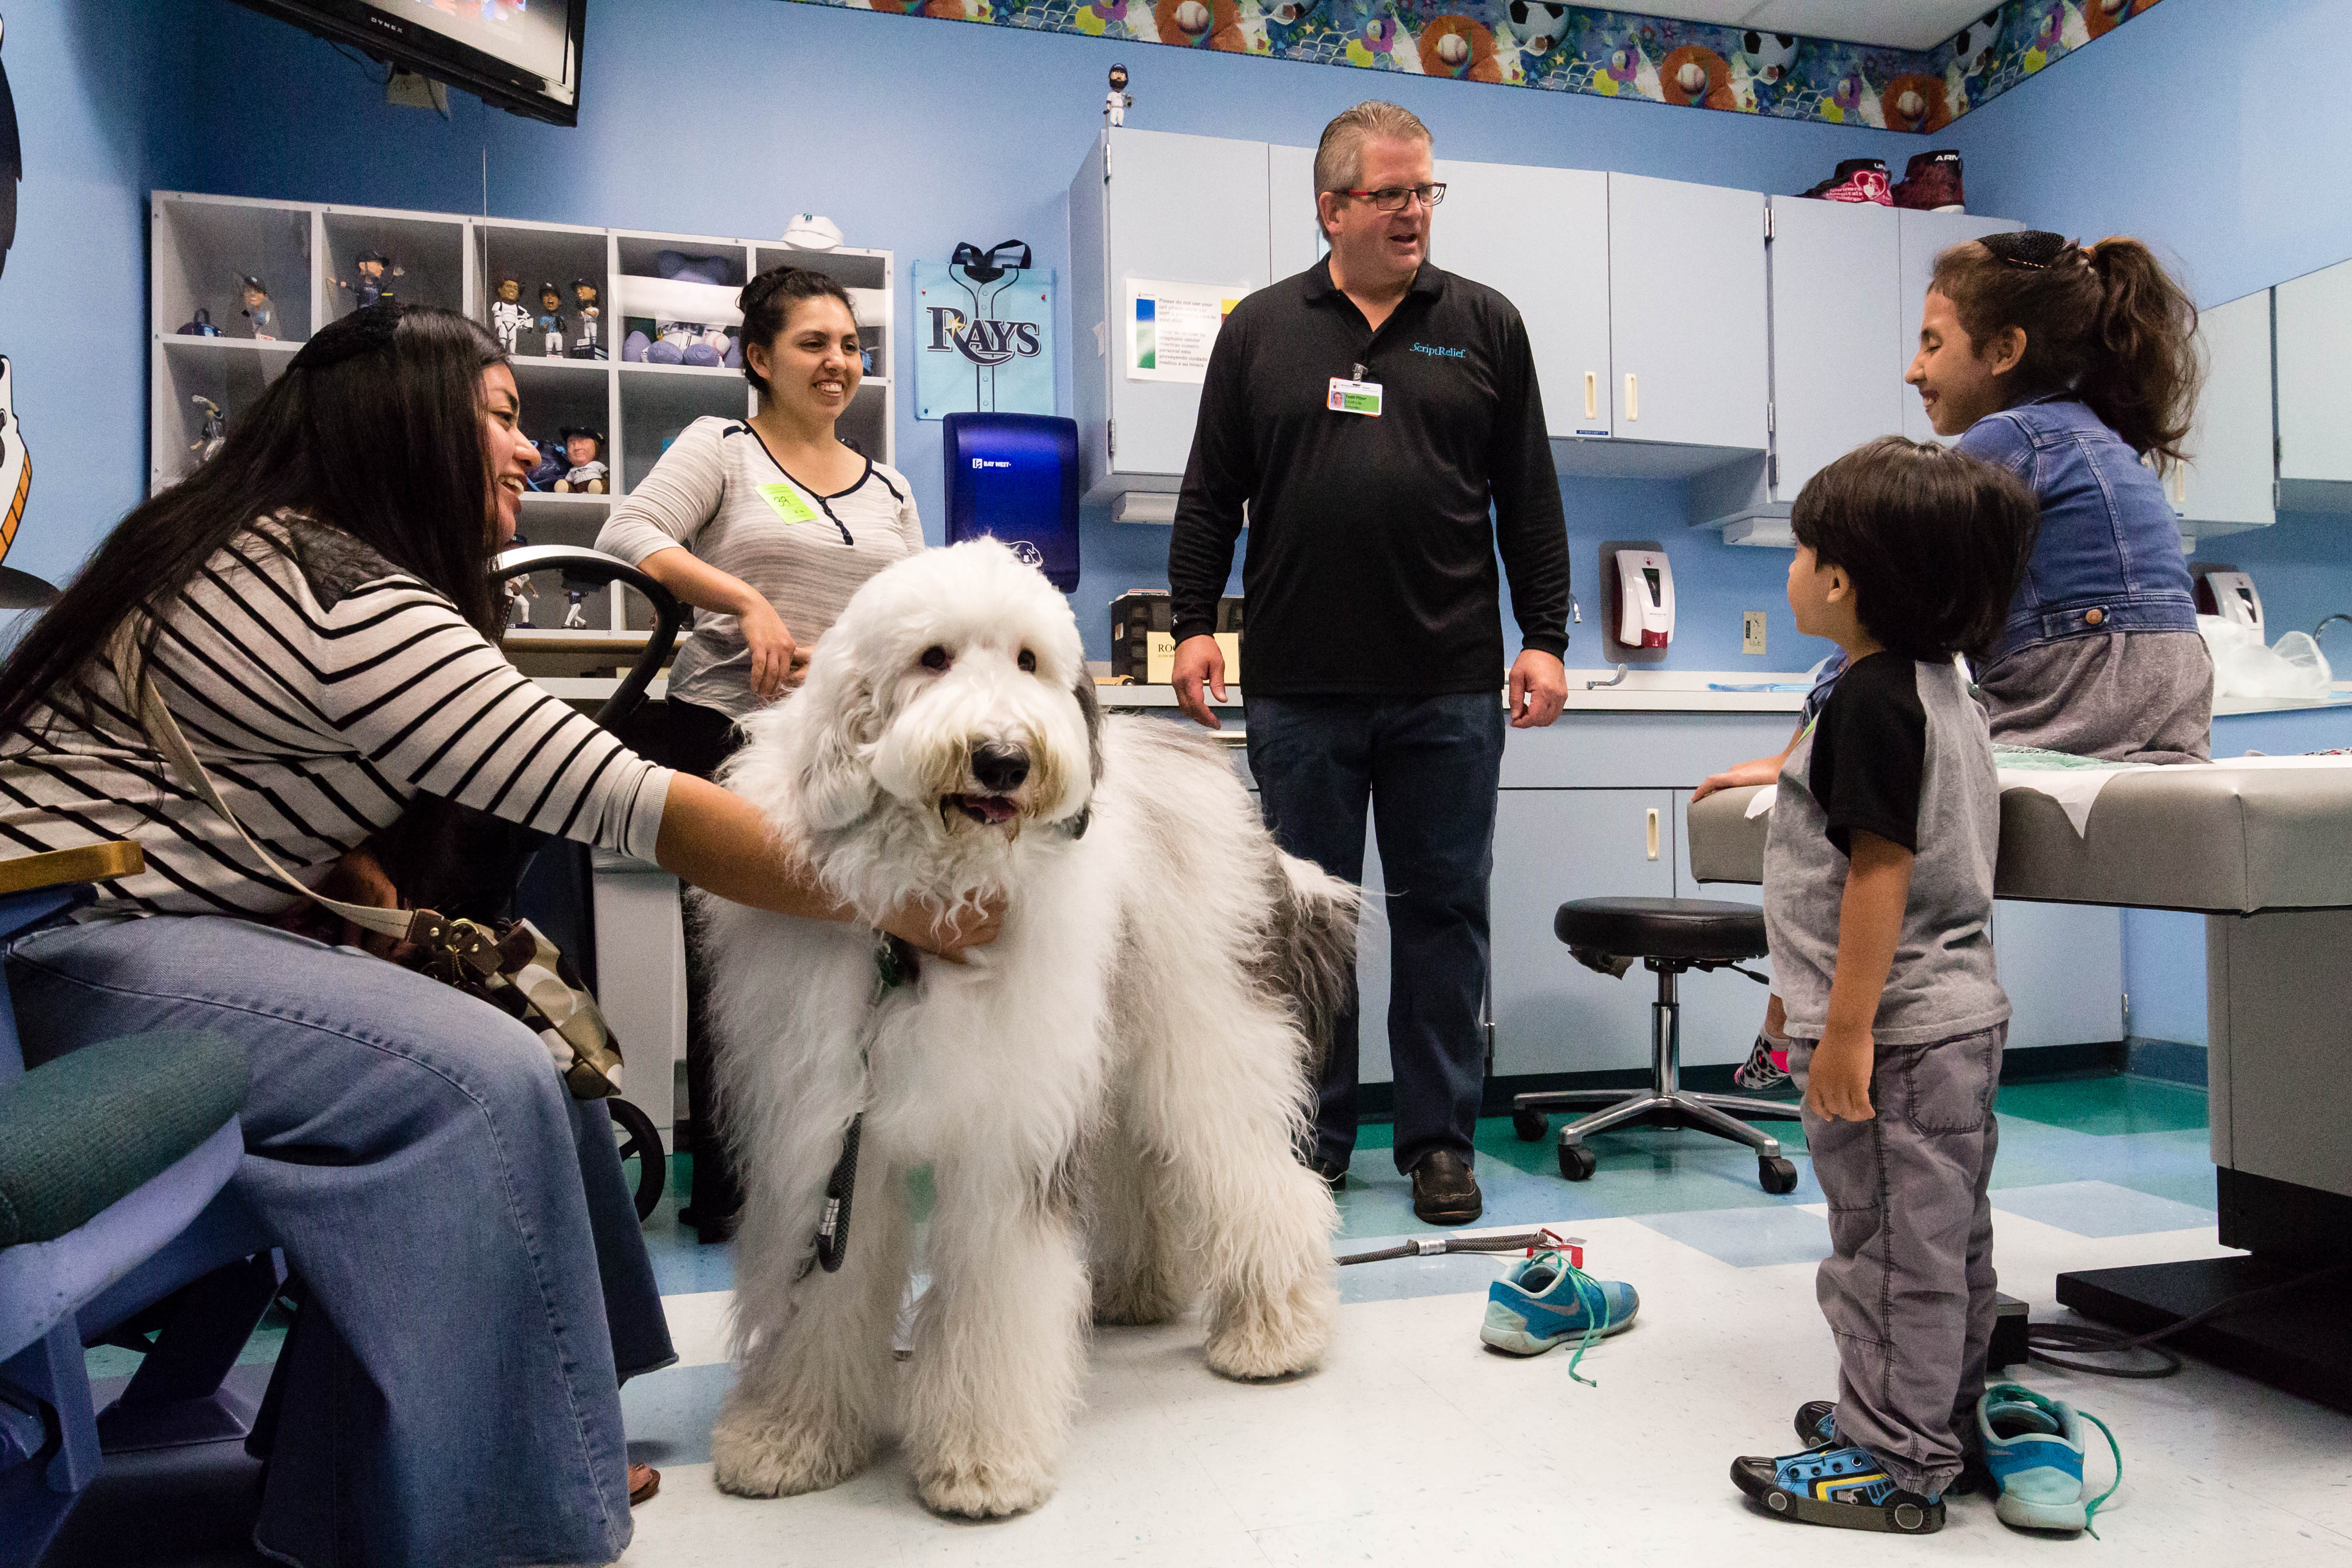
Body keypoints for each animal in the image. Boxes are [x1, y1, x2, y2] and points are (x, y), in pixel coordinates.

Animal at [696, 540, 1354, 1523]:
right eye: (933, 658)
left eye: (1028, 661)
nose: (1003, 759)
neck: (927, 907)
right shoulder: (825, 1137)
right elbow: (827, 1288)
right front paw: (788, 1439)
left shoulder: (1002, 1139)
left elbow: (992, 1296)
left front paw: (981, 1464)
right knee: (1140, 1170)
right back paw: (1136, 1292)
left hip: (1202, 1040)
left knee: (1257, 1178)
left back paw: (1275, 1334)